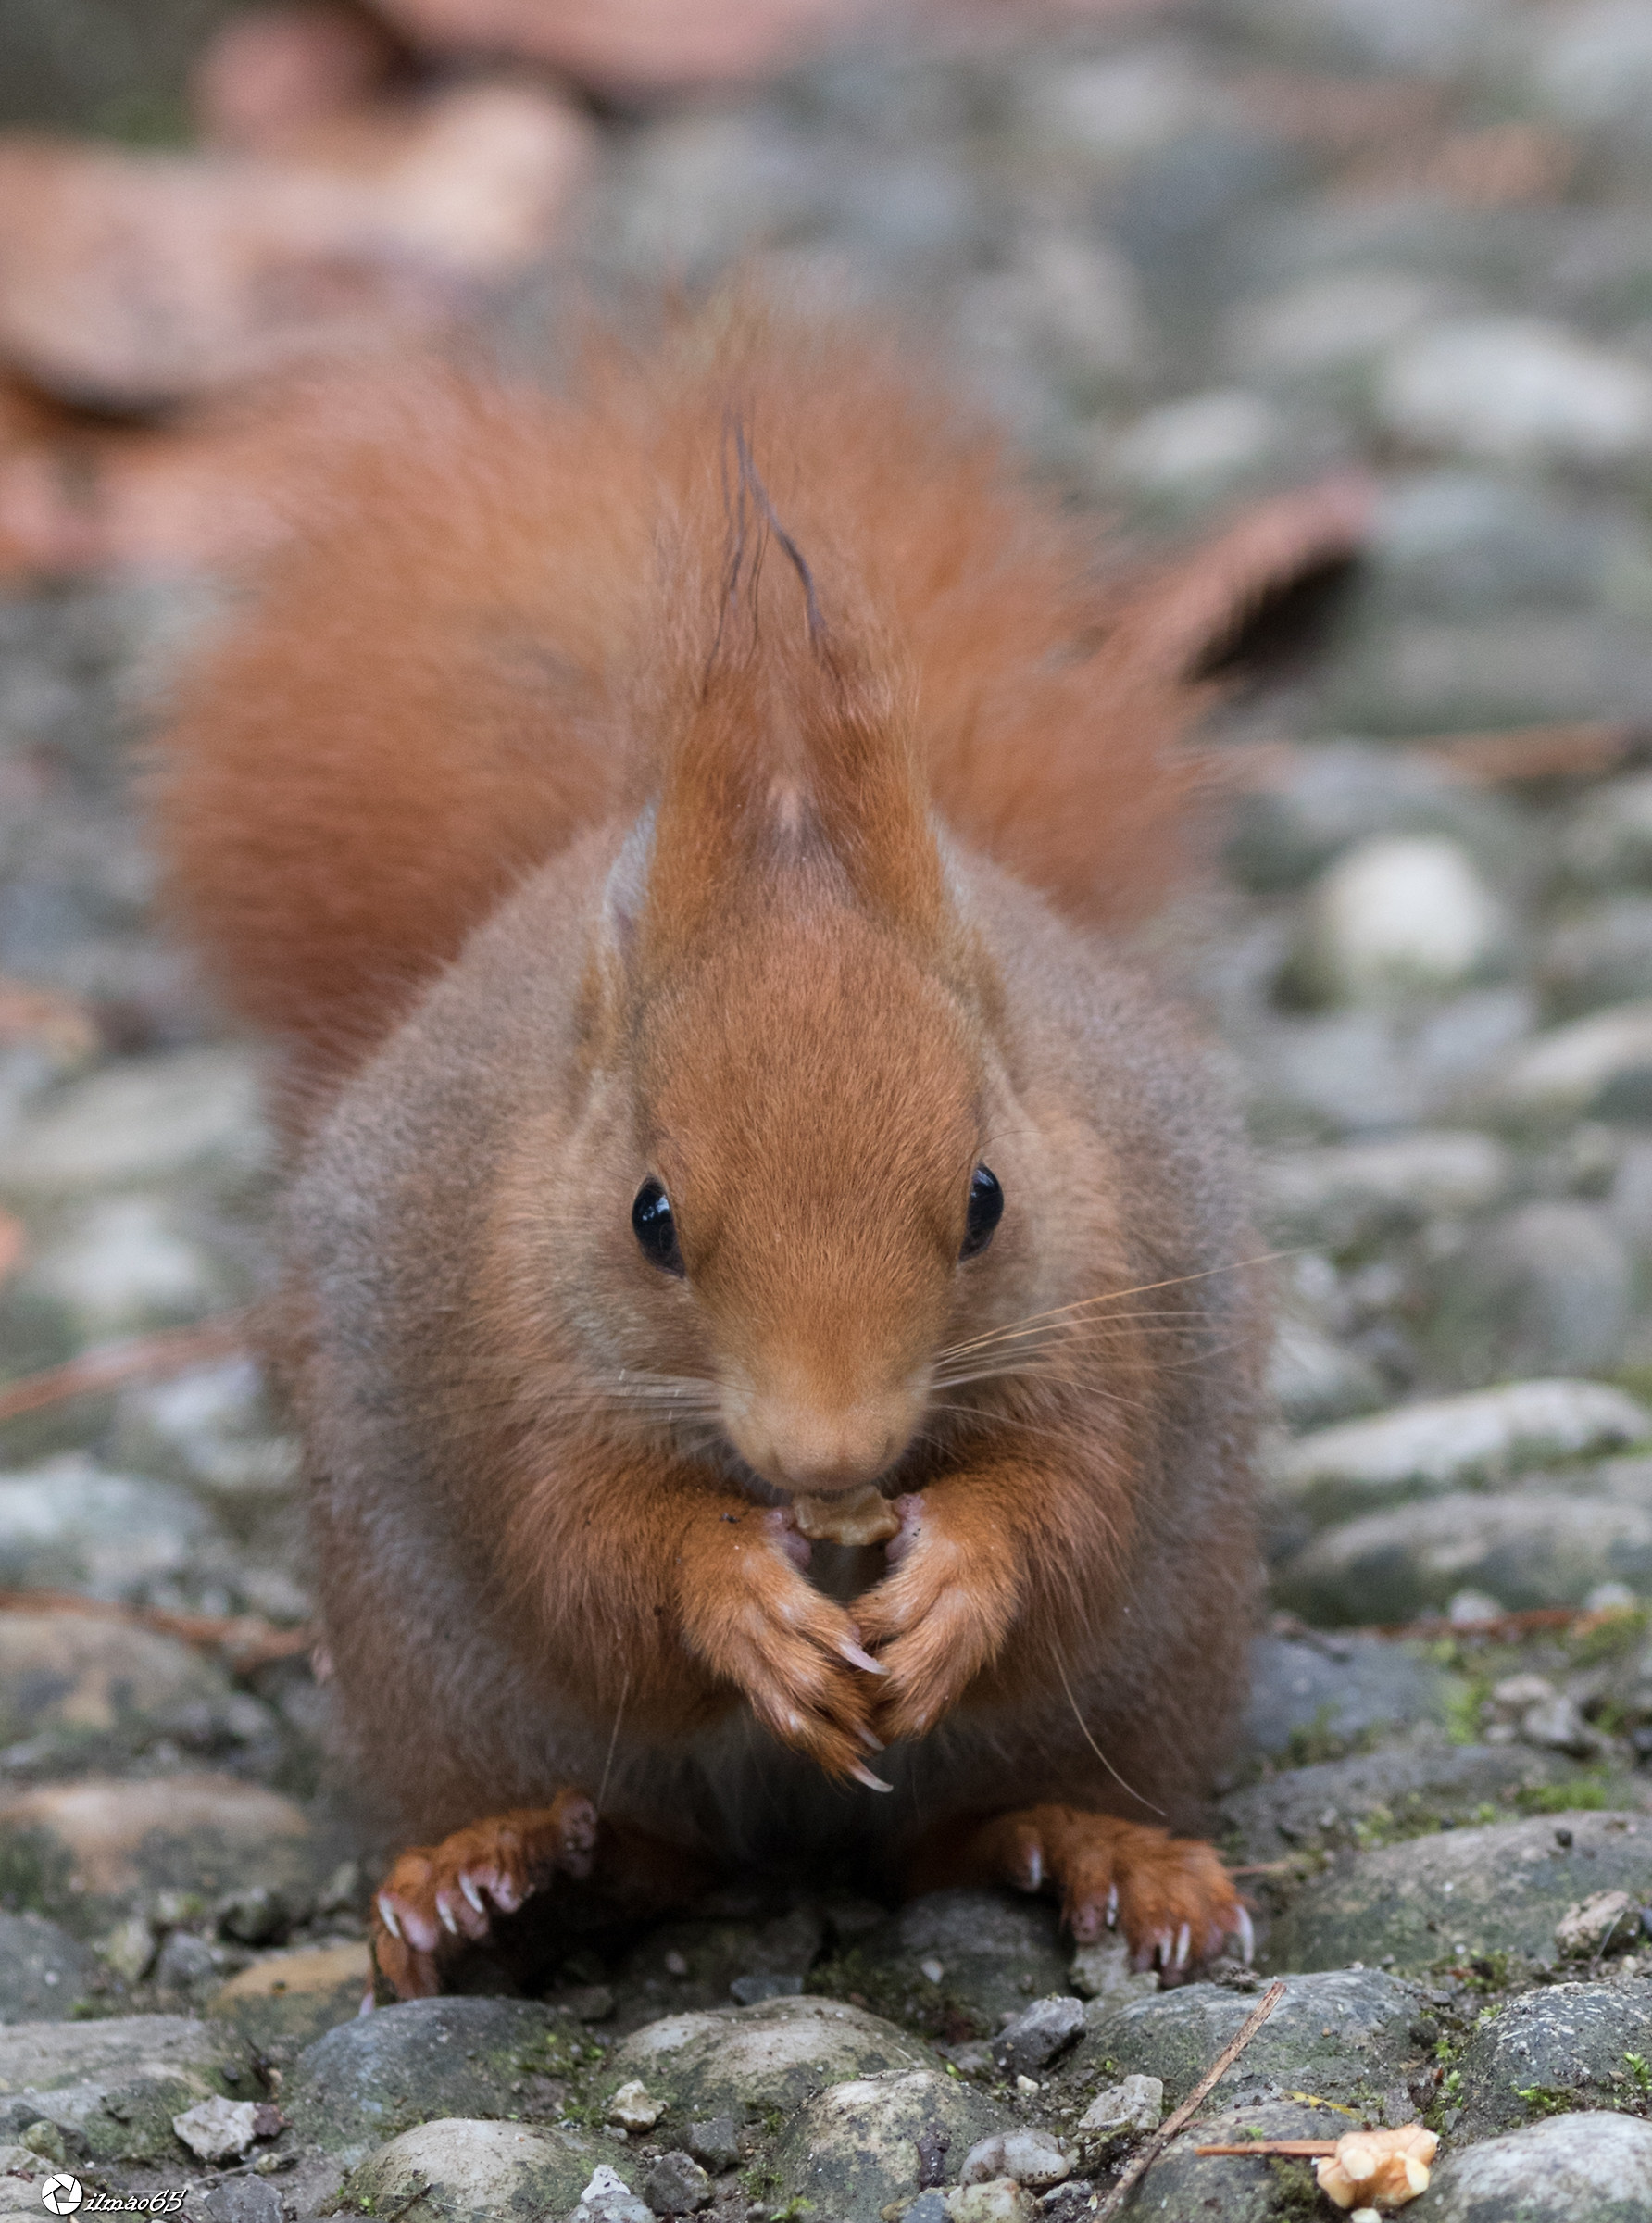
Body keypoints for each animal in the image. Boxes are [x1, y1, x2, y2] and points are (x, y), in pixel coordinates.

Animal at [153, 300, 1368, 1999]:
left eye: (985, 1199)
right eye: (649, 1215)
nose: (829, 1456)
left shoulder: (1100, 1315)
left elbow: (1072, 1503)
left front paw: (961, 1581)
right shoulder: (514, 1372)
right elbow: (586, 1557)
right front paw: (734, 1601)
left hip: (1155, 1662)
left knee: (963, 1829)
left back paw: (1101, 1850)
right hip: (435, 1682)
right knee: (652, 1848)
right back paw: (500, 1881)